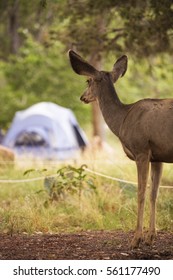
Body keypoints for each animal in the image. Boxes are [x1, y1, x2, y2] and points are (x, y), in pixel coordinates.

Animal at [69, 49, 173, 248]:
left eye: (88, 81)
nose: (82, 97)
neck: (122, 119)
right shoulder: (157, 156)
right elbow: (154, 194)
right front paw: (150, 237)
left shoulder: (141, 150)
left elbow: (141, 193)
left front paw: (136, 239)